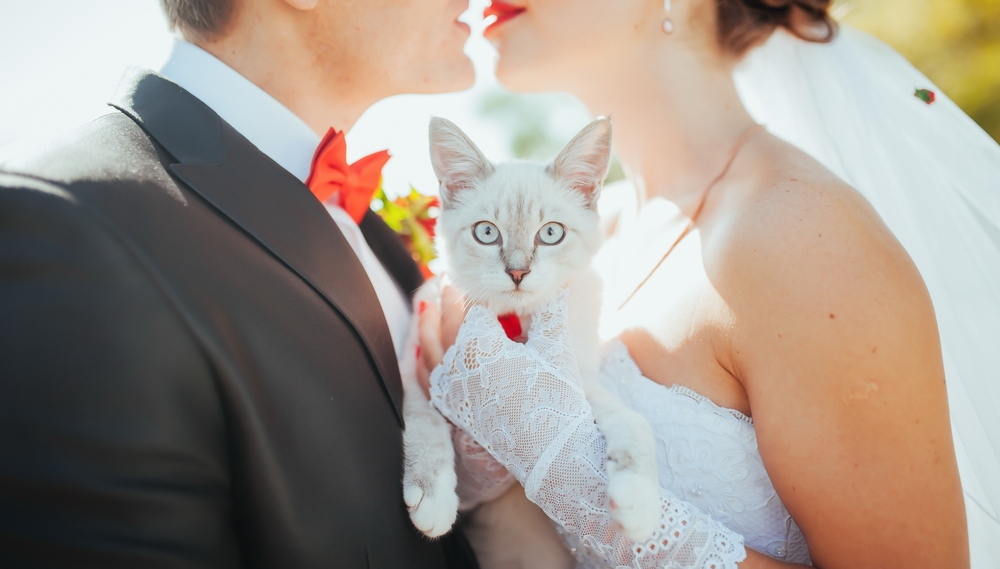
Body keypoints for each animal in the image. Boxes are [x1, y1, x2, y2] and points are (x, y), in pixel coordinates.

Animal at [398, 115, 664, 540]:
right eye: (486, 233)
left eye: (551, 233)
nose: (518, 272)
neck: (516, 324)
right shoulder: (415, 364)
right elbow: (425, 422)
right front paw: (432, 495)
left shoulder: (575, 384)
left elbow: (631, 422)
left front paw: (639, 504)